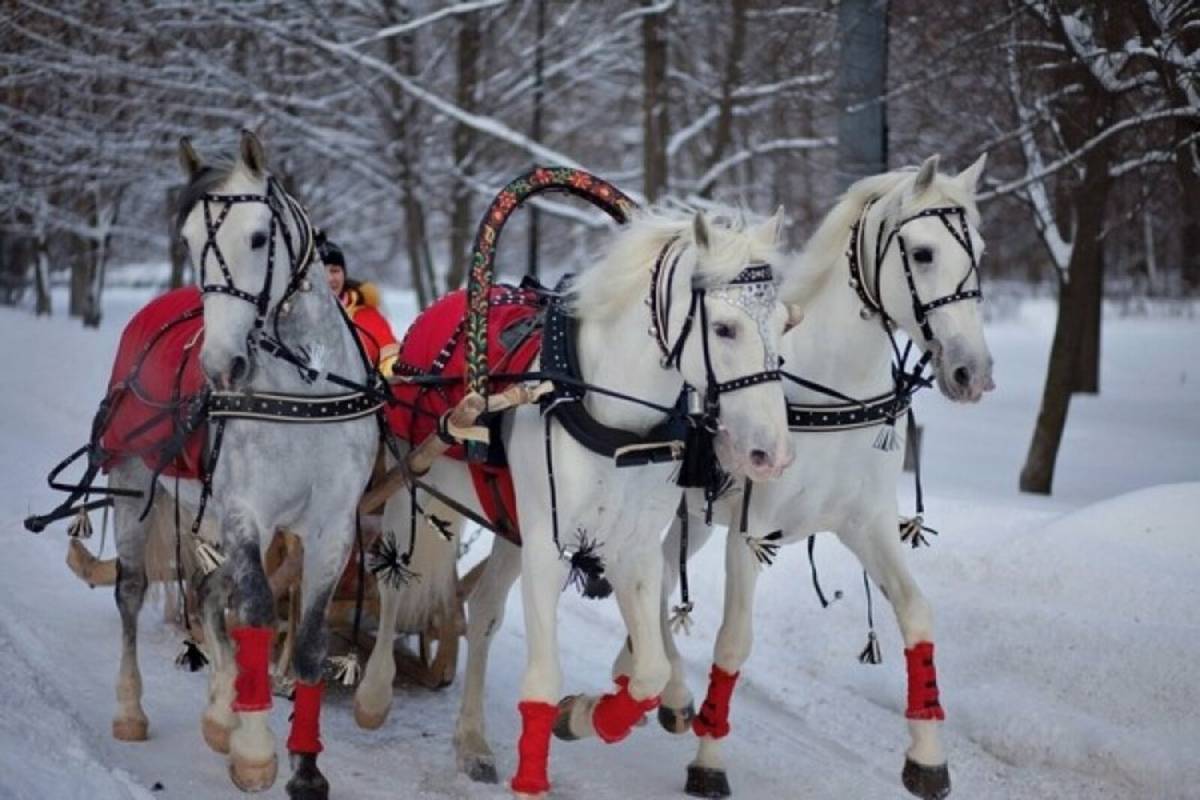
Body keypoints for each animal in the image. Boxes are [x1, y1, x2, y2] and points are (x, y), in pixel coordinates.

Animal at [106, 133, 374, 800]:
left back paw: (220, 709)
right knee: (132, 590)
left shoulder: (332, 526)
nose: (220, 364)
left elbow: (308, 642)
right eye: (186, 242)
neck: (304, 384)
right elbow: (254, 611)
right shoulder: (245, 511)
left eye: (257, 238)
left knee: (206, 592)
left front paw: (305, 768)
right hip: (131, 480)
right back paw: (132, 708)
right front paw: (255, 750)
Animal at [352, 205, 796, 796]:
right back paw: (375, 693)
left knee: (484, 613)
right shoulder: (547, 545)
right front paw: (532, 777)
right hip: (415, 485)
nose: (772, 453)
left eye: (784, 326)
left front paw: (584, 716)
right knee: (395, 583)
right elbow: (542, 676)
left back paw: (472, 740)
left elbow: (649, 672)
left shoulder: (632, 549)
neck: (619, 423)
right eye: (725, 328)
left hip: (510, 524)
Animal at [628, 155, 993, 800]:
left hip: (691, 517)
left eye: (979, 248)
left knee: (661, 584)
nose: (971, 371)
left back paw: (661, 687)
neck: (831, 393)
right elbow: (734, 640)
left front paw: (927, 754)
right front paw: (710, 759)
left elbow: (916, 612)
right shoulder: (751, 534)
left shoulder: (867, 524)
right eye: (923, 252)